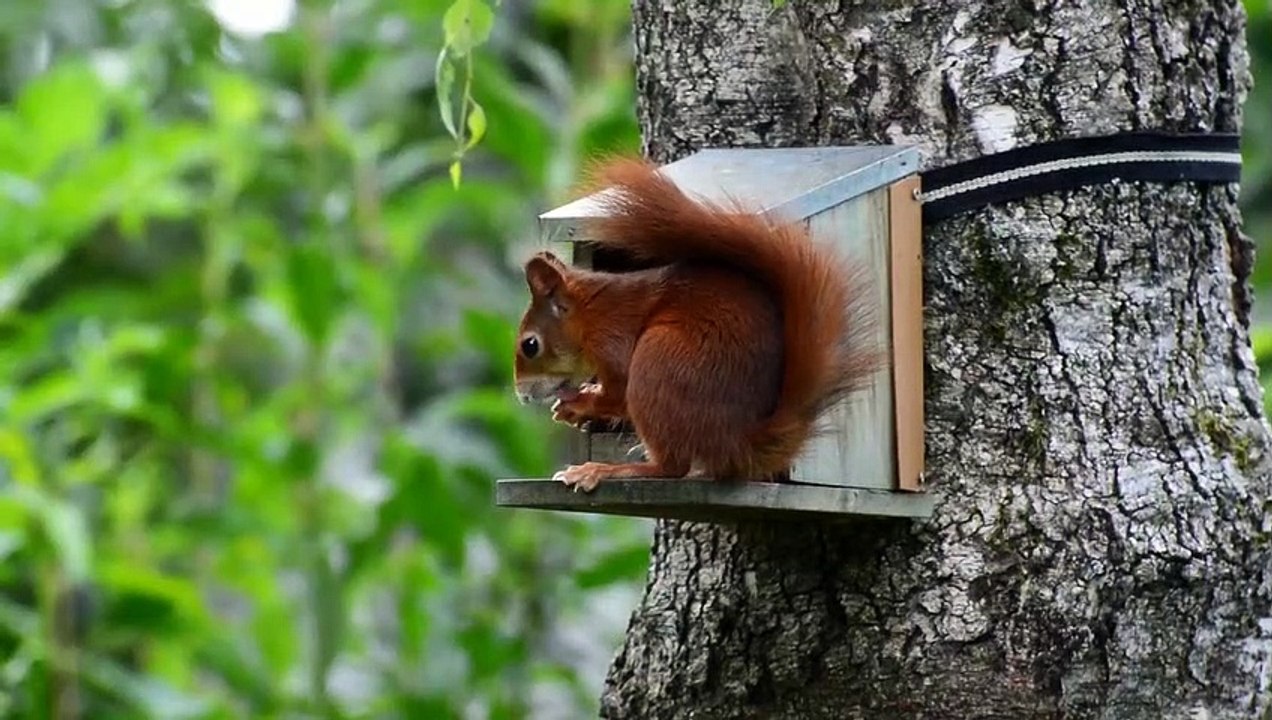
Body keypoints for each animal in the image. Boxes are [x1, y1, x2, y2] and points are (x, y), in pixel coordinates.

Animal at [513, 156, 882, 493]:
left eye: (530, 345)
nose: (522, 396)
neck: (591, 313)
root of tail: (738, 443)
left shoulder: (613, 340)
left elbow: (617, 395)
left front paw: (580, 404)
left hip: (659, 360)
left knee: (671, 467)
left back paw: (605, 470)